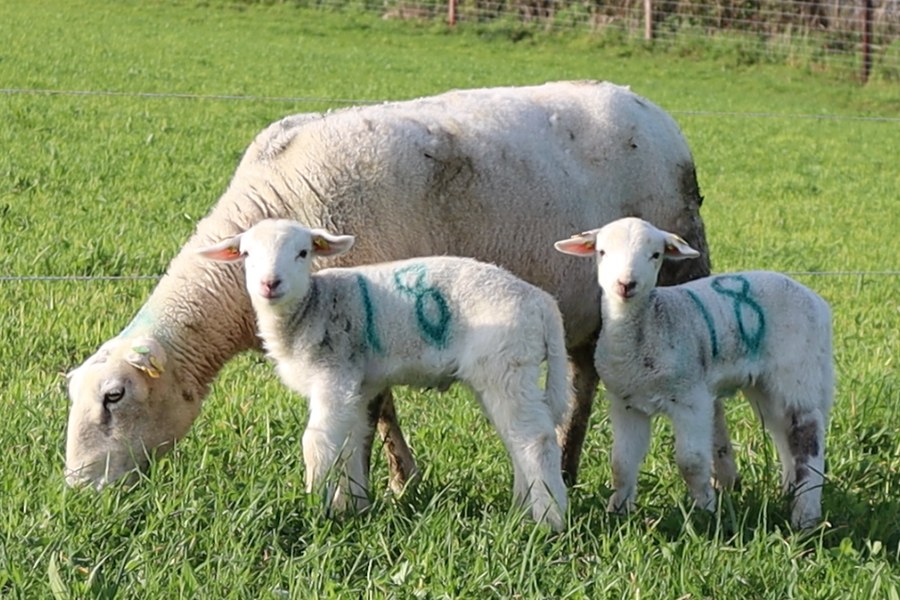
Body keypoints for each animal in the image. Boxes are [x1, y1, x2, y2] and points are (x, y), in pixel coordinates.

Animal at [65, 80, 714, 491]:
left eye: (114, 397)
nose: (76, 488)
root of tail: (654, 111)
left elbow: (374, 410)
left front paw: (392, 485)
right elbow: (374, 409)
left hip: (682, 264)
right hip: (586, 308)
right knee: (582, 384)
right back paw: (569, 465)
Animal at [196, 219, 572, 529]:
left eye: (303, 253)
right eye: (246, 254)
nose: (269, 284)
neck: (311, 308)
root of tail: (541, 302)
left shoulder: (334, 375)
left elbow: (317, 442)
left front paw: (312, 502)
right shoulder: (357, 384)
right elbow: (352, 443)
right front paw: (351, 505)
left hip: (507, 364)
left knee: (536, 439)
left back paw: (550, 519)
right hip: (498, 369)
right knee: (516, 437)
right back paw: (522, 511)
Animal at [554, 217, 833, 528]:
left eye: (656, 255)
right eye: (601, 252)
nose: (626, 284)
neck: (648, 326)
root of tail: (817, 301)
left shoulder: (692, 399)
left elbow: (692, 462)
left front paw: (705, 512)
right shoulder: (626, 403)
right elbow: (621, 464)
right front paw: (617, 512)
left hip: (798, 369)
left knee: (806, 432)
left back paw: (805, 514)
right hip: (765, 383)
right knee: (782, 430)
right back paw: (789, 491)